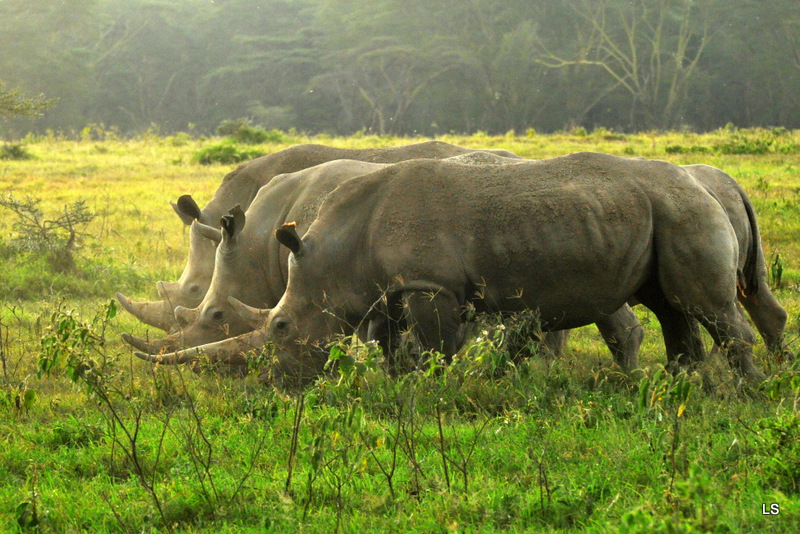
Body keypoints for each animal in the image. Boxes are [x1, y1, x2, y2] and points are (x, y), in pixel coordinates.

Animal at [135, 153, 766, 385]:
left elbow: (436, 347)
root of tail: (706, 182)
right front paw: (397, 387)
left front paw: (434, 391)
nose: (273, 379)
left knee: (709, 308)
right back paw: (680, 392)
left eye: (282, 327)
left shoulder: (428, 285)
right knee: (670, 305)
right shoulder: (388, 290)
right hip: (662, 213)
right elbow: (393, 344)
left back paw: (746, 395)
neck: (335, 249)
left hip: (686, 213)